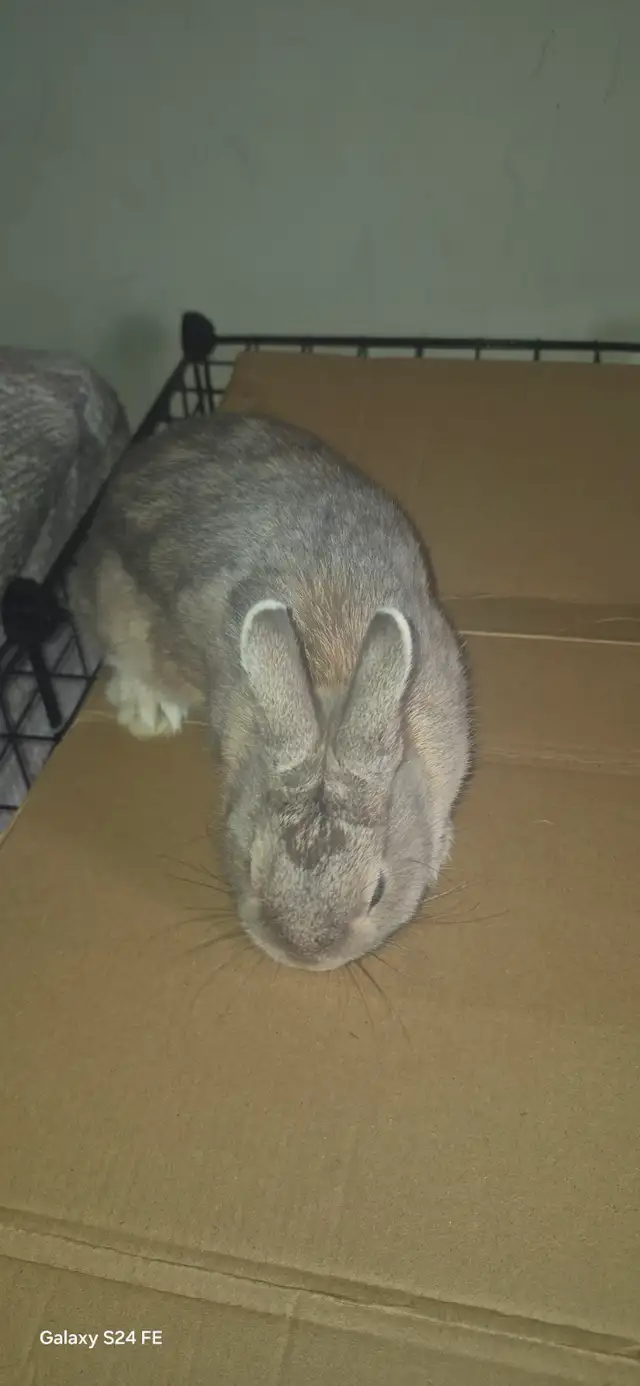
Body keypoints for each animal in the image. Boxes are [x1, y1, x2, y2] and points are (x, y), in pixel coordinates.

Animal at [72, 411, 471, 970]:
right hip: (112, 603)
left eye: (378, 891)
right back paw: (149, 711)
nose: (302, 955)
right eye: (248, 867)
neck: (332, 683)